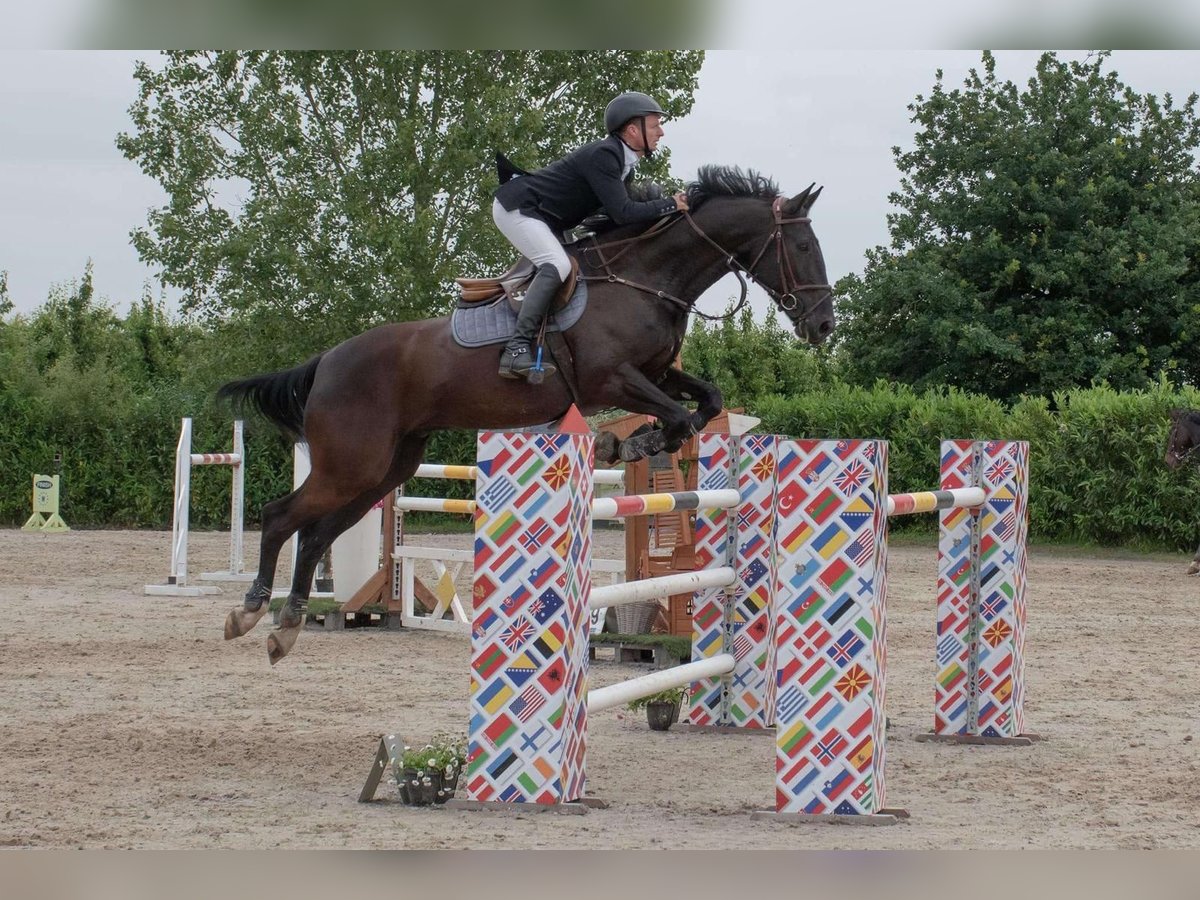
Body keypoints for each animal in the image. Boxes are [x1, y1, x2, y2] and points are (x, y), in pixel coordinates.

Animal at [218, 168, 835, 662]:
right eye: (804, 245)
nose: (823, 325)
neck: (646, 278)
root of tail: (327, 361)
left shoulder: (657, 375)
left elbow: (707, 401)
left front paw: (630, 443)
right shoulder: (613, 379)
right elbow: (679, 420)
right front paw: (626, 445)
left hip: (386, 469)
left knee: (316, 533)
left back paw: (287, 626)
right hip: (351, 465)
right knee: (281, 517)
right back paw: (250, 612)